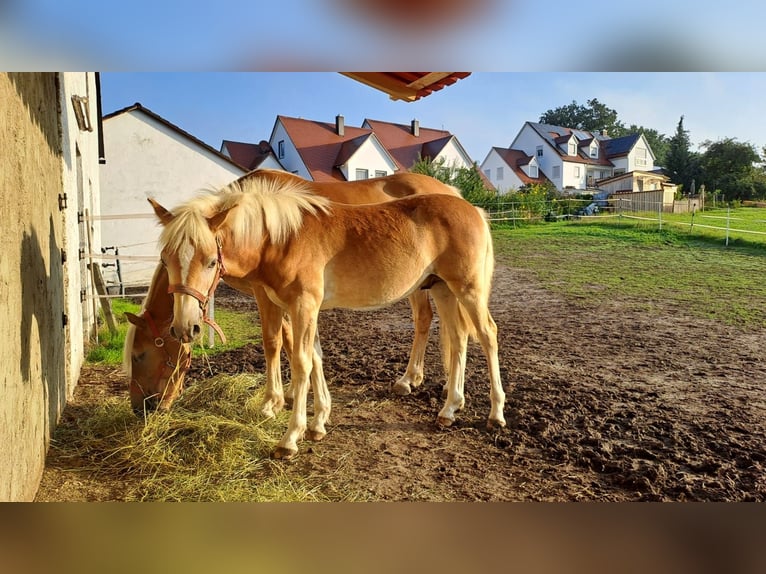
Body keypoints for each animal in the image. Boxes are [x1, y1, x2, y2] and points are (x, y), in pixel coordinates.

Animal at [124, 169, 460, 416]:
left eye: (140, 355)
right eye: (166, 259)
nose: (142, 408)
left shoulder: (267, 294)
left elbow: (278, 342)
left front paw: (280, 399)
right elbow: (295, 343)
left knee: (427, 320)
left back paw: (411, 381)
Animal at [152, 174, 508, 460]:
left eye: (211, 261)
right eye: (166, 259)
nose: (185, 328)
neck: (283, 239)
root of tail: (472, 209)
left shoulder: (303, 305)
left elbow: (300, 362)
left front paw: (290, 437)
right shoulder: (293, 306)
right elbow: (312, 356)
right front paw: (318, 422)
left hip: (468, 290)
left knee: (487, 335)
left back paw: (495, 414)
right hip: (443, 289)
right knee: (459, 338)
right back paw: (449, 408)